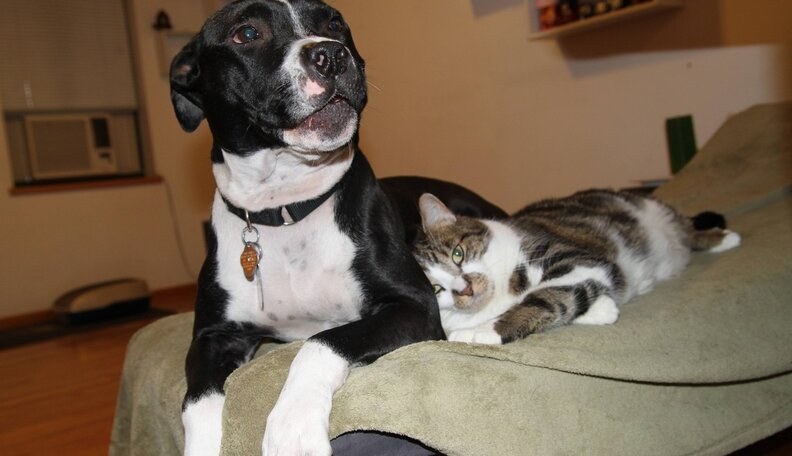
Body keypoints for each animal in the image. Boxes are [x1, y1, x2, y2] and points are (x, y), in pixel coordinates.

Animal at [169, 1, 448, 454]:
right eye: (247, 33)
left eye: (334, 23)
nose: (332, 55)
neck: (285, 207)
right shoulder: (212, 335)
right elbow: (197, 400)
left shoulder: (414, 304)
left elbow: (322, 340)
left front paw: (293, 427)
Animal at [413, 189, 741, 344]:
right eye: (436, 288)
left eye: (457, 254)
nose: (465, 288)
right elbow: (566, 300)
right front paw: (603, 309)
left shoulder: (571, 257)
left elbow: (542, 296)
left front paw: (479, 332)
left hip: (652, 210)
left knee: (687, 227)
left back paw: (722, 238)